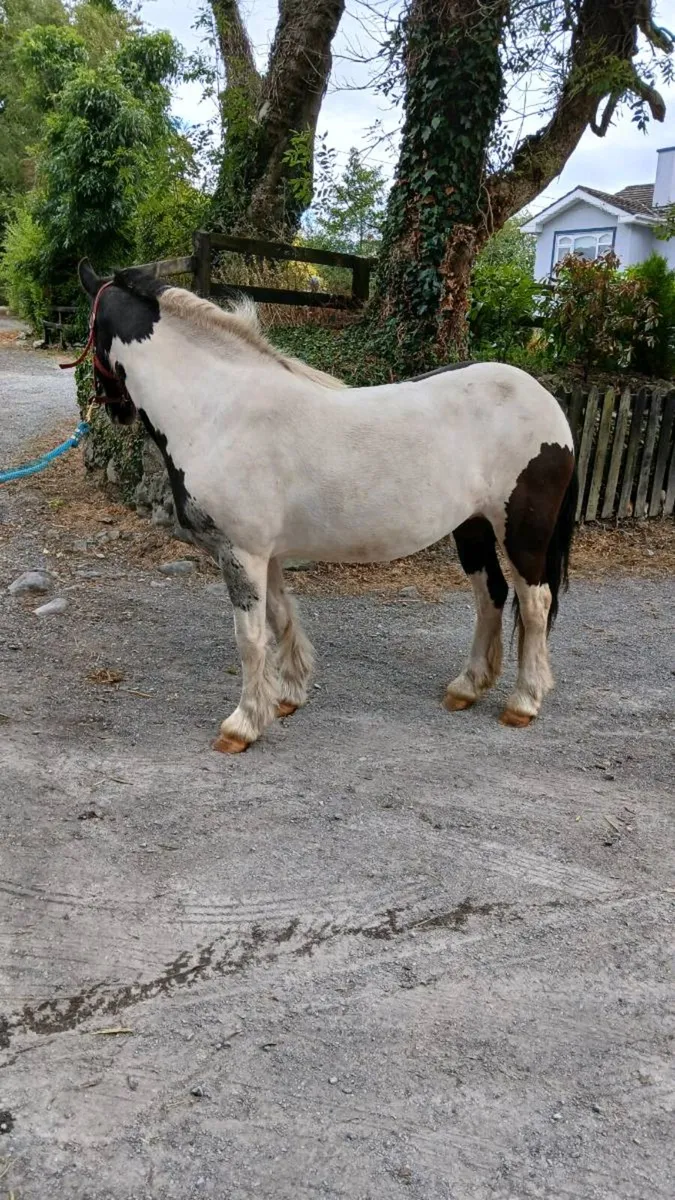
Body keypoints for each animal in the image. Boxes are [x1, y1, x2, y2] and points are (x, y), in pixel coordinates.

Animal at [76, 260, 577, 754]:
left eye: (89, 329)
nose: (115, 410)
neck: (219, 411)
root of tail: (547, 403)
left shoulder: (241, 553)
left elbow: (250, 639)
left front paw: (242, 724)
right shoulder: (266, 554)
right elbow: (280, 617)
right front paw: (287, 696)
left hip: (523, 535)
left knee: (534, 604)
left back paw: (524, 701)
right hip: (472, 527)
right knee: (490, 593)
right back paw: (467, 687)